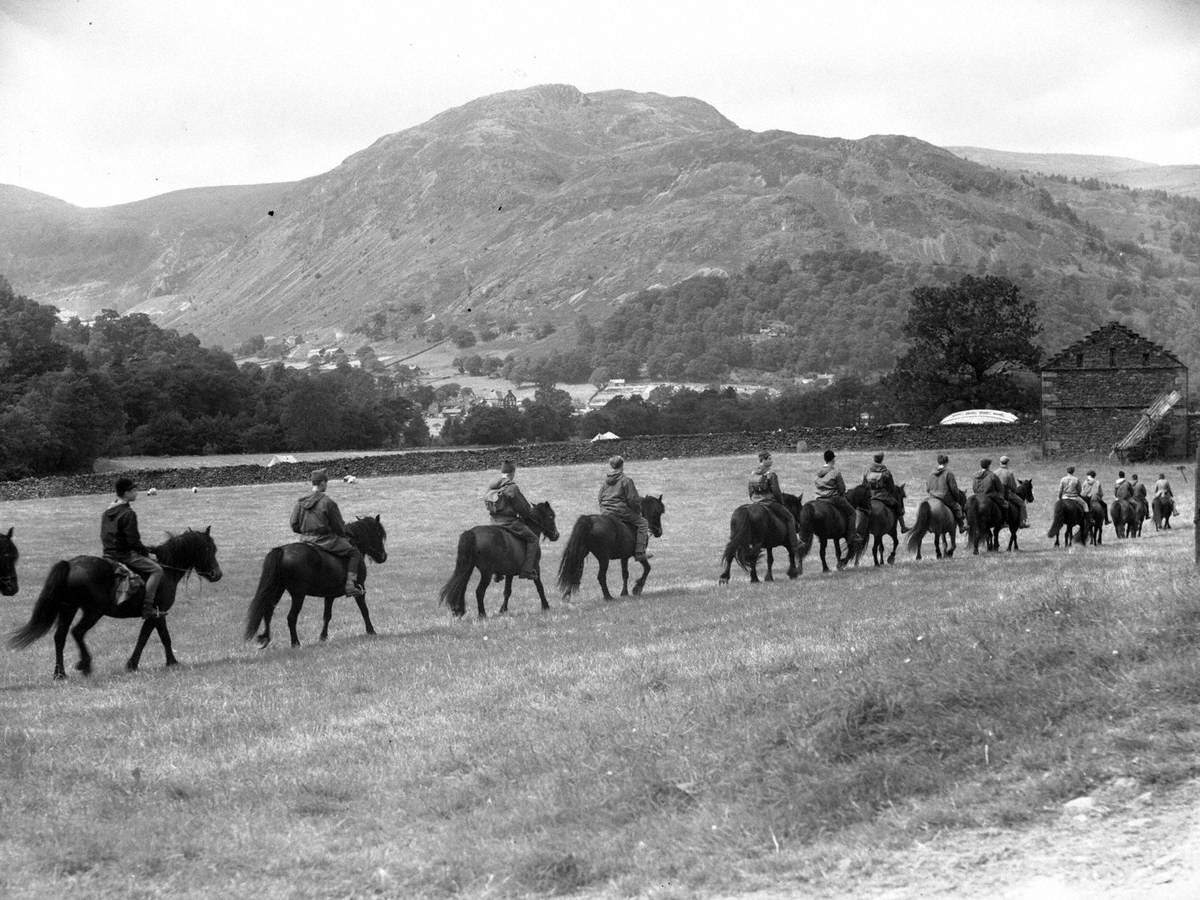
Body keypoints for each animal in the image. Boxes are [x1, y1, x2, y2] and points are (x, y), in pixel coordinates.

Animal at [9, 528, 223, 681]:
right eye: (208, 549)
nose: (217, 574)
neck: (166, 570)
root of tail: (70, 564)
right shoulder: (157, 613)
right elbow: (152, 638)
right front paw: (141, 664)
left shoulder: (157, 615)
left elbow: (159, 637)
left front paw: (168, 662)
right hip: (93, 611)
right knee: (77, 632)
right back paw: (84, 664)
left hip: (68, 609)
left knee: (60, 637)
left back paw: (60, 674)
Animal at [244, 513, 388, 648]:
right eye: (378, 533)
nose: (383, 556)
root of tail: (282, 550)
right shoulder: (360, 588)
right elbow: (364, 610)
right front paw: (371, 631)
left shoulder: (329, 596)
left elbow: (327, 616)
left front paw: (323, 637)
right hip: (298, 595)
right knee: (291, 617)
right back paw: (295, 643)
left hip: (277, 590)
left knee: (268, 611)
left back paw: (265, 638)